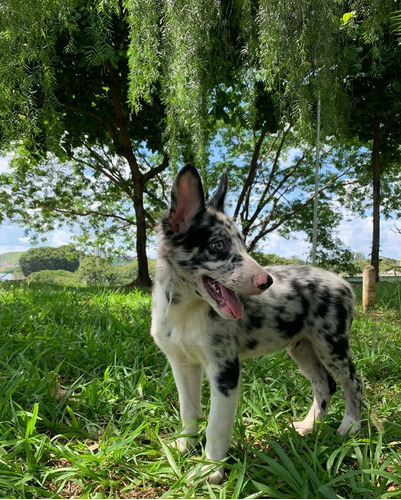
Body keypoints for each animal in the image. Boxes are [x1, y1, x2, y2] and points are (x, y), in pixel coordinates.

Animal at [151, 165, 362, 484]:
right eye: (217, 245)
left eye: (242, 243)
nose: (267, 282)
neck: (186, 310)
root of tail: (343, 282)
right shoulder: (182, 363)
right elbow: (189, 411)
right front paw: (184, 447)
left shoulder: (225, 369)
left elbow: (217, 425)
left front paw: (209, 470)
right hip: (302, 348)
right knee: (325, 385)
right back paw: (309, 426)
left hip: (331, 344)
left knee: (353, 382)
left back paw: (350, 427)